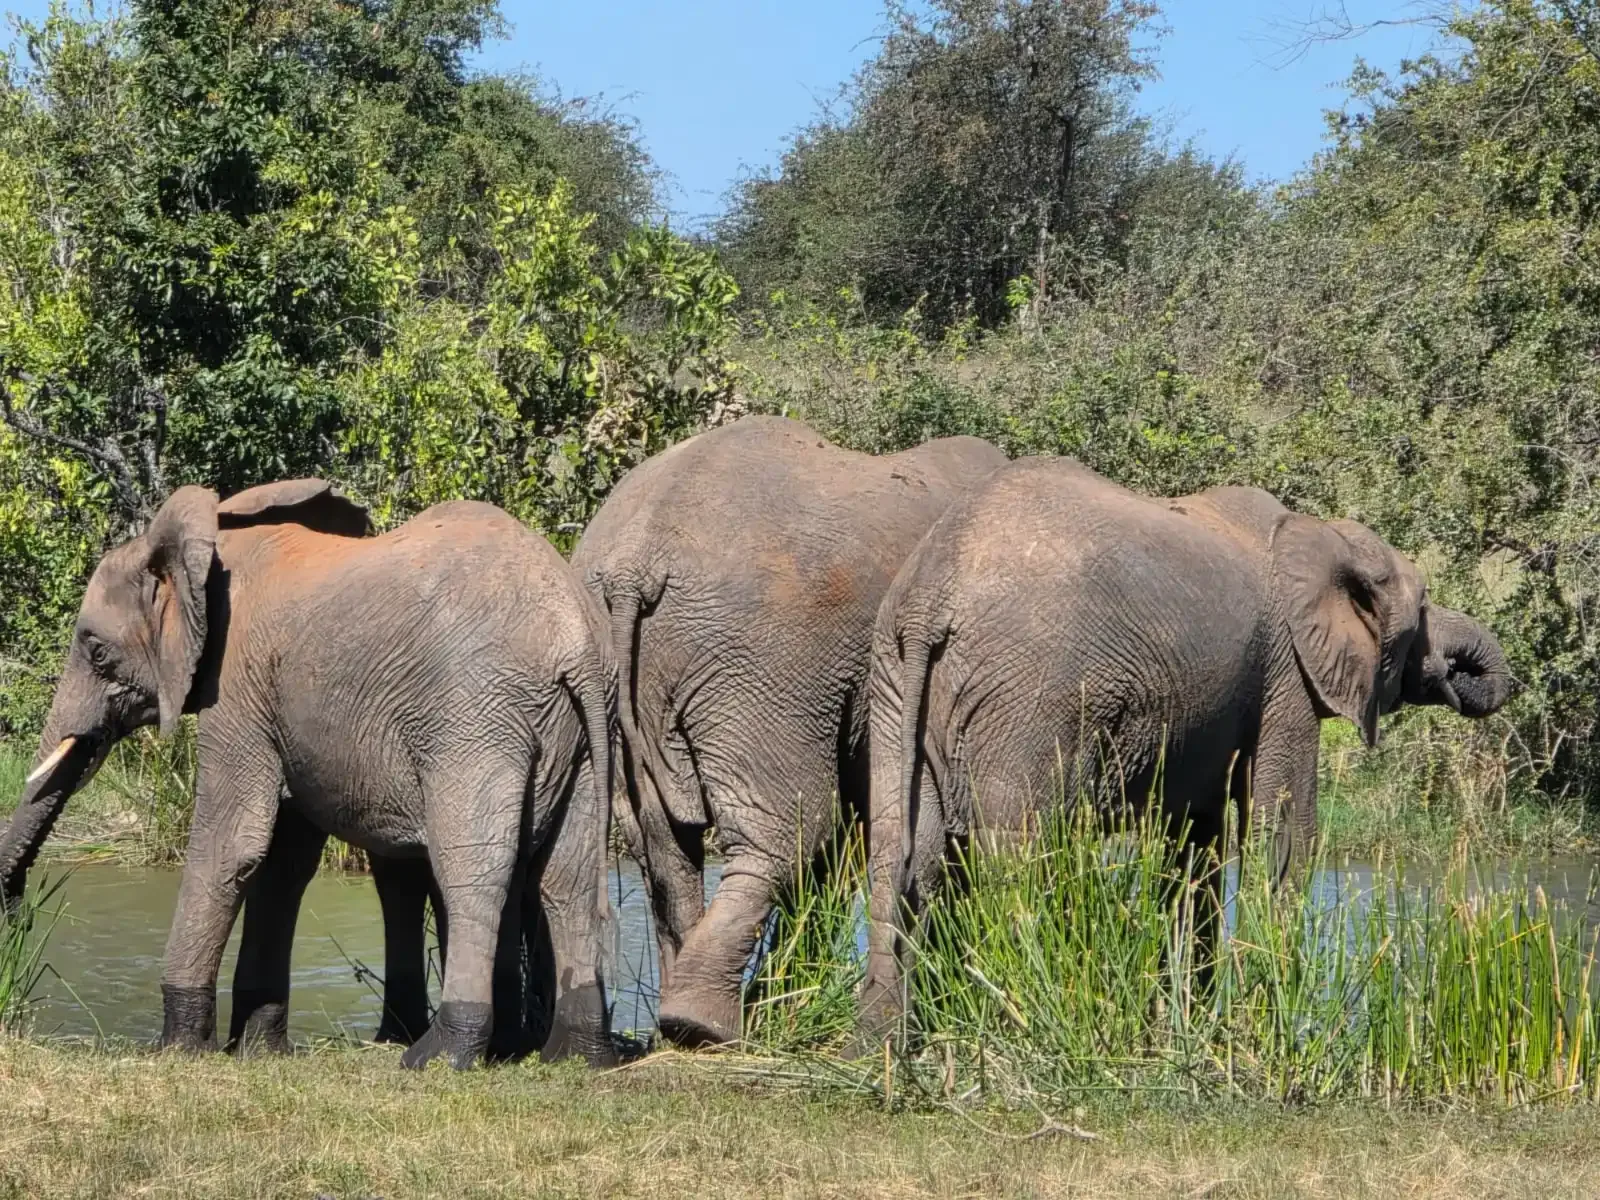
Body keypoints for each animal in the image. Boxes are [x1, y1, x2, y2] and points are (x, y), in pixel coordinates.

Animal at [0, 479, 618, 1069]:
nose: (16, 913)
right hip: (581, 737)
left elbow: (231, 845)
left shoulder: (236, 683)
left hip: (476, 719)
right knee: (569, 875)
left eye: (97, 652)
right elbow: (283, 863)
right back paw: (576, 1055)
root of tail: (574, 639)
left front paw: (175, 1049)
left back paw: (440, 1056)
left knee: (472, 868)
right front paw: (258, 1050)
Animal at [572, 415, 1007, 1046]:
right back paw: (707, 1024)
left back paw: (680, 1028)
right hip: (765, 663)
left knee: (662, 846)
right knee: (792, 829)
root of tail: (634, 566)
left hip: (627, 669)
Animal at [856, 458, 1515, 1039]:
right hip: (1027, 698)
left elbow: (1197, 846)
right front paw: (1261, 1031)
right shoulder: (1287, 676)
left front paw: (1191, 1026)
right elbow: (1285, 835)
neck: (1320, 535)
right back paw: (1020, 1028)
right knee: (1017, 859)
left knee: (899, 853)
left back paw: (885, 1051)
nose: (1452, 670)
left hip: (891, 680)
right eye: (1422, 608)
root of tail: (930, 600)